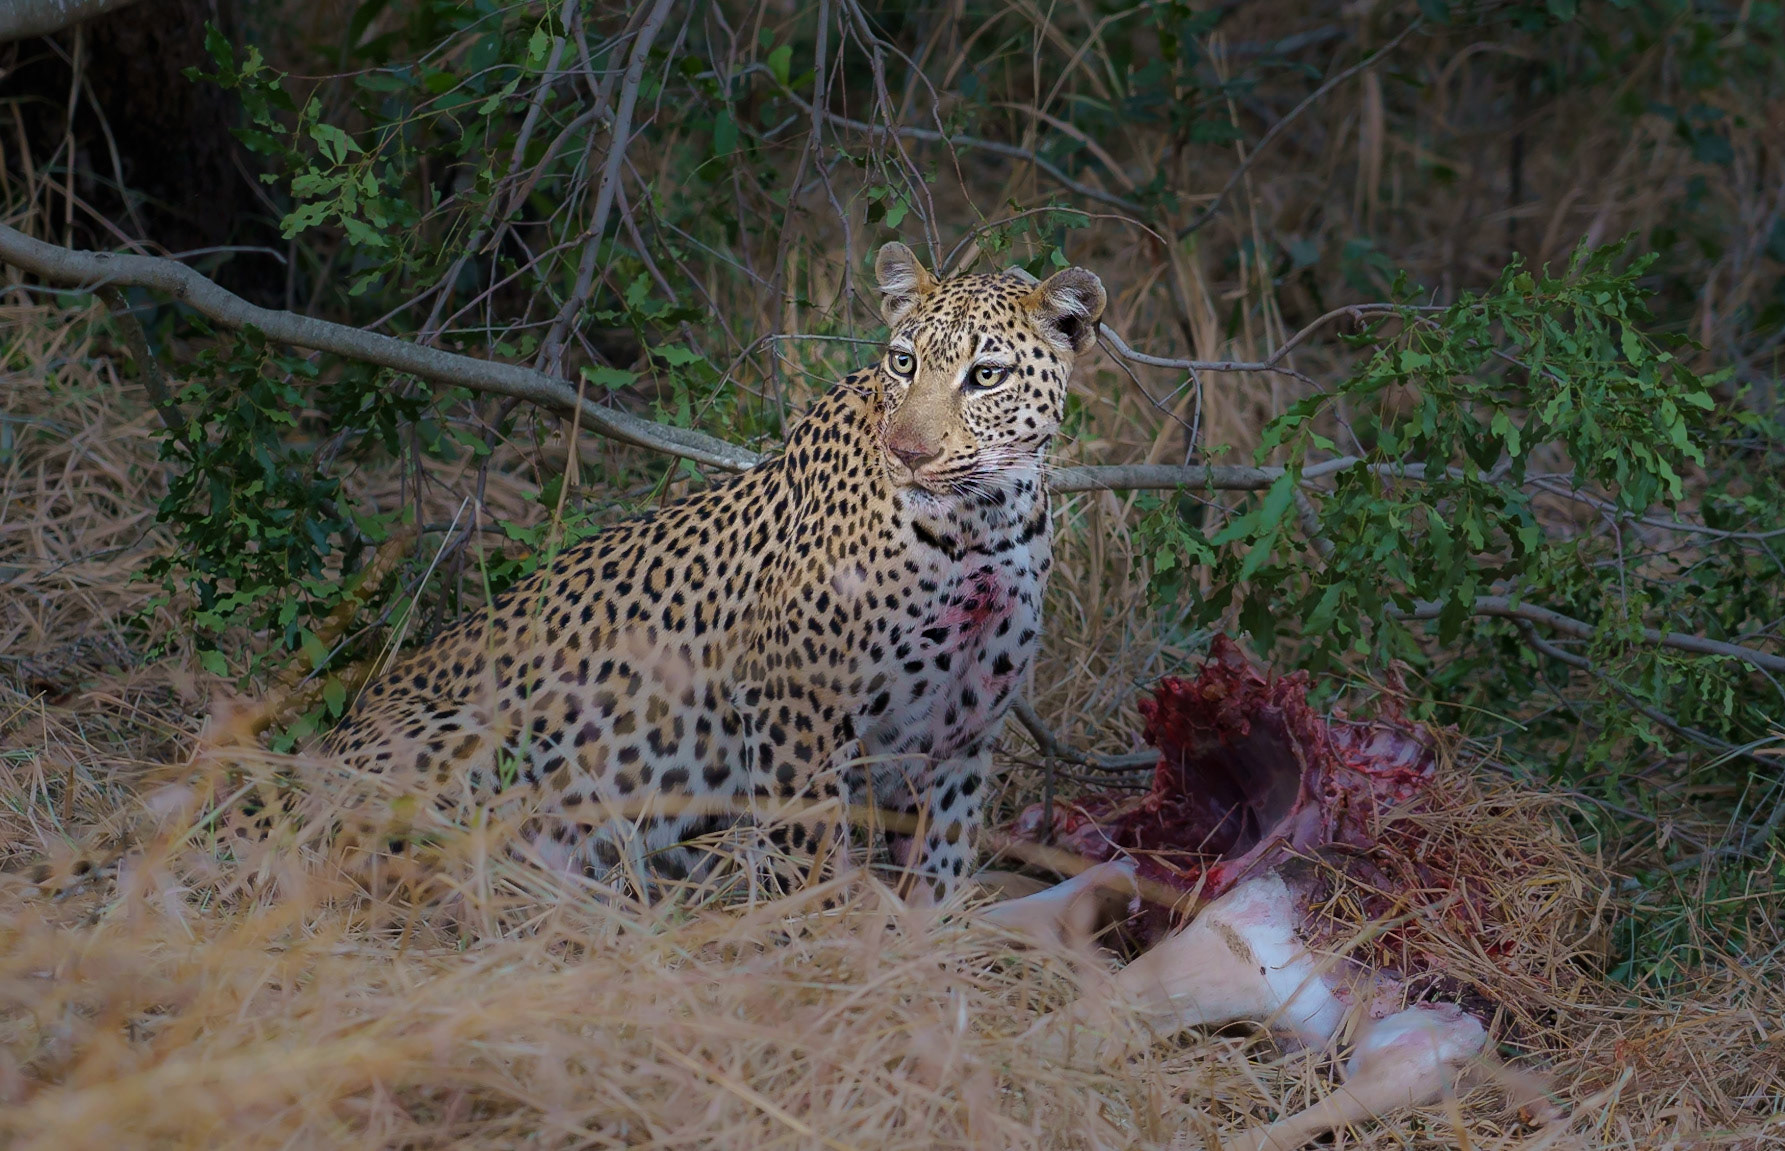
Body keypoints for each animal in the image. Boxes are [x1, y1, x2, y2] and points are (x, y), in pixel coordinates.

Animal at [317, 242, 1106, 902]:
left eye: (986, 376)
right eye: (904, 363)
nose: (906, 453)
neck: (984, 527)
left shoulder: (960, 736)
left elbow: (939, 870)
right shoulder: (794, 709)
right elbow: (809, 857)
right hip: (472, 739)